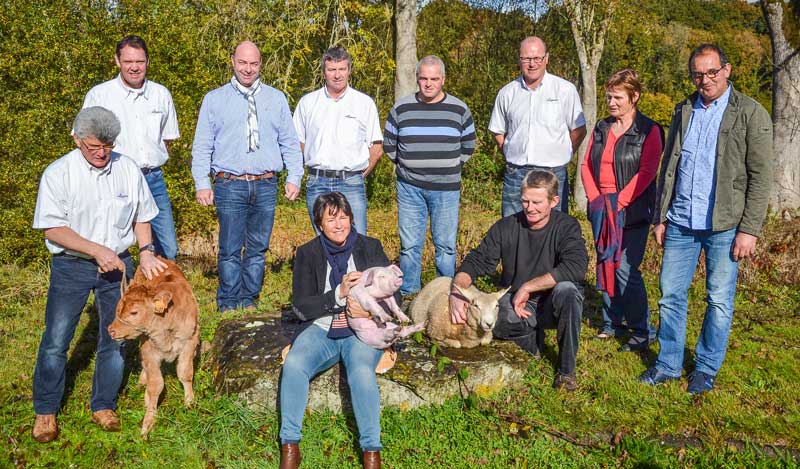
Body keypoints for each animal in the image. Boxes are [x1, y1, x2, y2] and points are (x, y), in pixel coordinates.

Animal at [108, 258, 200, 436]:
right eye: (118, 308)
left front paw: (189, 402)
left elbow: (185, 373)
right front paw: (148, 422)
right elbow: (156, 384)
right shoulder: (149, 348)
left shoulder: (190, 341)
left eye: (134, 312)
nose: (111, 330)